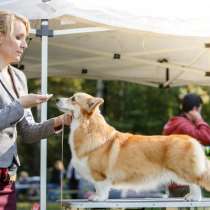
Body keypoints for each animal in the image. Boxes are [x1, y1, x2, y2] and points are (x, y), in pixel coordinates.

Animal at [56, 92, 210, 201]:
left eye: (73, 99)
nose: (56, 99)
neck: (88, 127)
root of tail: (192, 140)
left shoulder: (100, 175)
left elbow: (100, 188)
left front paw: (97, 198)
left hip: (184, 171)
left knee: (196, 183)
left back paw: (193, 198)